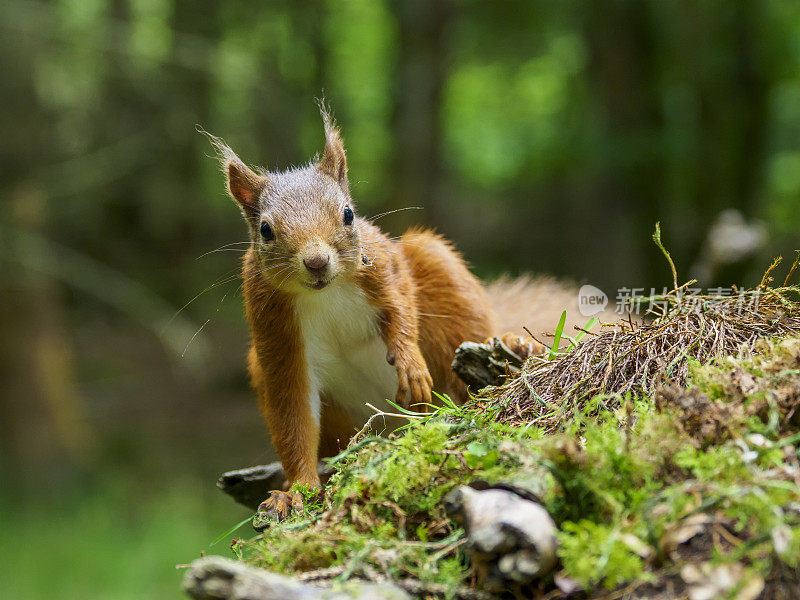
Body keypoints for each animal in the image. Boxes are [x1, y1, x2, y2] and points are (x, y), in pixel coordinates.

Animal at [209, 106, 540, 516]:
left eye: (349, 215)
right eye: (266, 230)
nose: (316, 262)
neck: (326, 294)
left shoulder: (384, 266)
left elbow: (402, 309)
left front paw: (410, 362)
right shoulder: (274, 332)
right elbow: (293, 415)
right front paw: (298, 490)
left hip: (438, 267)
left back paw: (514, 347)